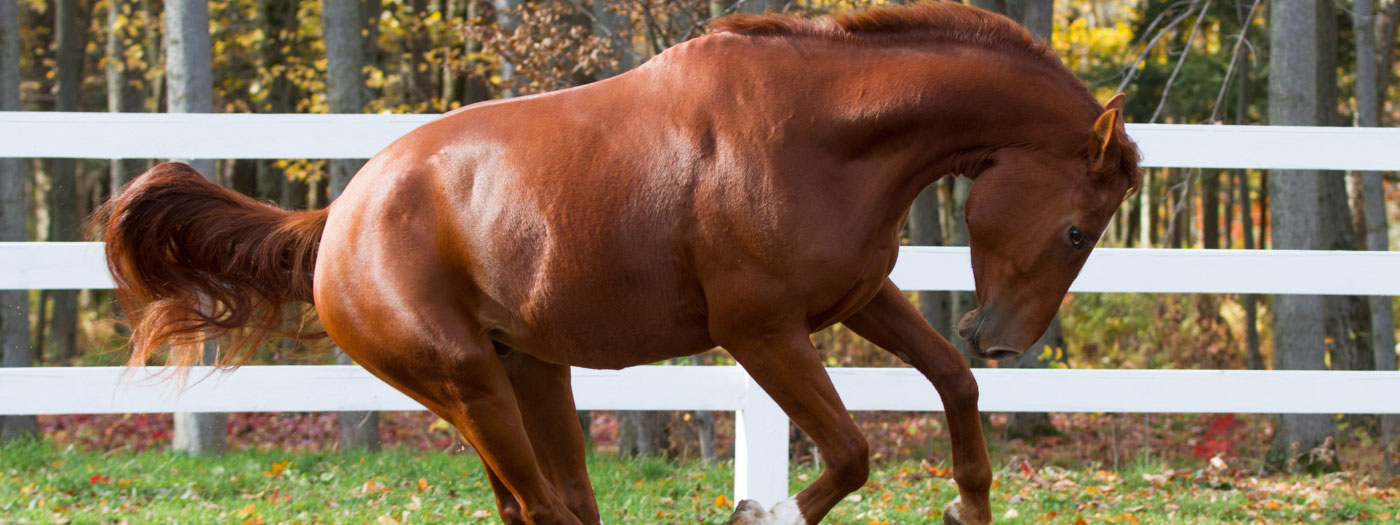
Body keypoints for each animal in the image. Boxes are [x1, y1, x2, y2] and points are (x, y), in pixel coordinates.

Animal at [92, 3, 1140, 524]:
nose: (1002, 335)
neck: (823, 133)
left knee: (553, 507)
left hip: (531, 374)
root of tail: (337, 218)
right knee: (544, 509)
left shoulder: (857, 296)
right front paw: (758, 513)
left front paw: (968, 502)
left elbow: (952, 382)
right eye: (1079, 231)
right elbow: (849, 451)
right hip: (468, 386)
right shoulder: (760, 332)